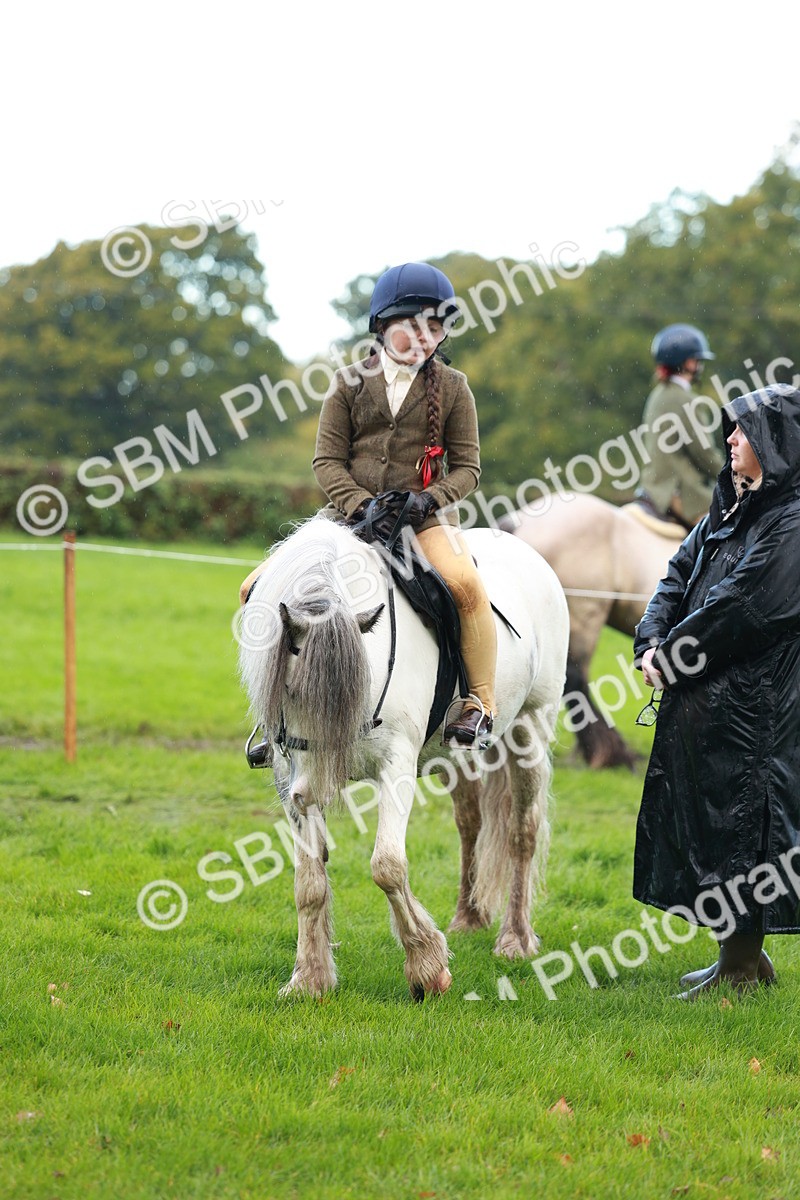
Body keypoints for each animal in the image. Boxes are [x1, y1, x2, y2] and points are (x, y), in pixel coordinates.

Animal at [238, 515, 569, 999]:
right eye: (285, 688)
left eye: (347, 694)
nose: (311, 792)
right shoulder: (287, 775)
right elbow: (309, 881)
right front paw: (309, 979)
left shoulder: (396, 767)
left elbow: (387, 867)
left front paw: (427, 967)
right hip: (457, 756)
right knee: (471, 824)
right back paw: (468, 917)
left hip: (530, 730)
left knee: (521, 831)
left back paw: (515, 939)